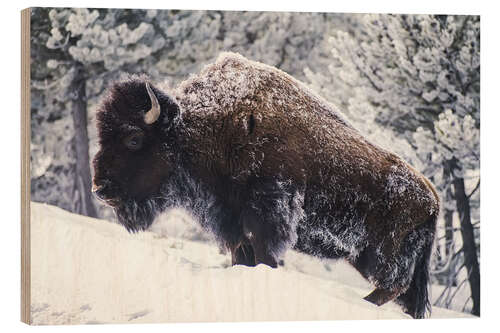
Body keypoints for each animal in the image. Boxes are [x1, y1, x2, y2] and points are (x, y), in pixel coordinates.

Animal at [92, 52, 440, 316]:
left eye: (133, 138)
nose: (100, 189)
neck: (198, 129)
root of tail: (433, 199)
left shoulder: (267, 218)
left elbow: (264, 258)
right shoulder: (231, 223)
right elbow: (241, 257)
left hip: (378, 256)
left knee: (392, 286)